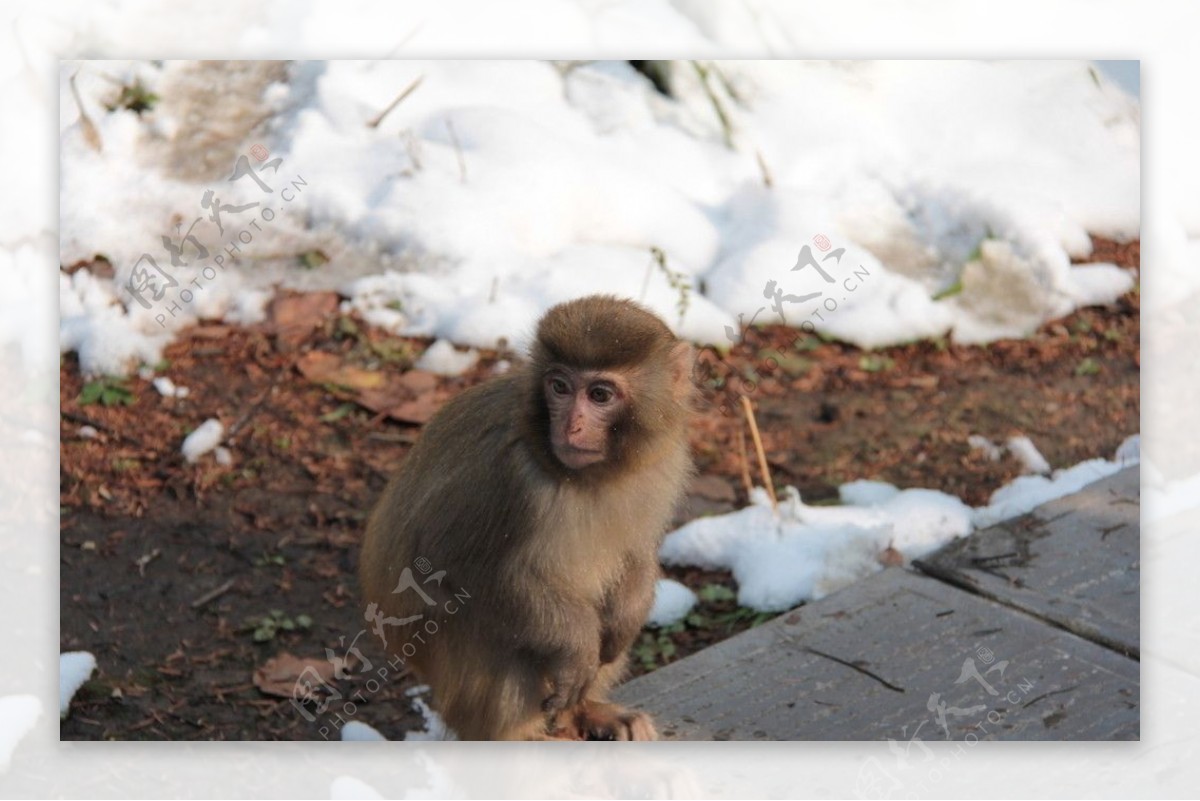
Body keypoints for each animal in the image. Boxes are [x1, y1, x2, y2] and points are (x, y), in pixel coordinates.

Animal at [357, 293, 696, 738]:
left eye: (600, 395)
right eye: (559, 387)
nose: (571, 427)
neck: (591, 477)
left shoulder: (664, 460)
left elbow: (637, 554)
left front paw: (626, 620)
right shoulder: (506, 477)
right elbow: (455, 570)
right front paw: (578, 647)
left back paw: (586, 712)